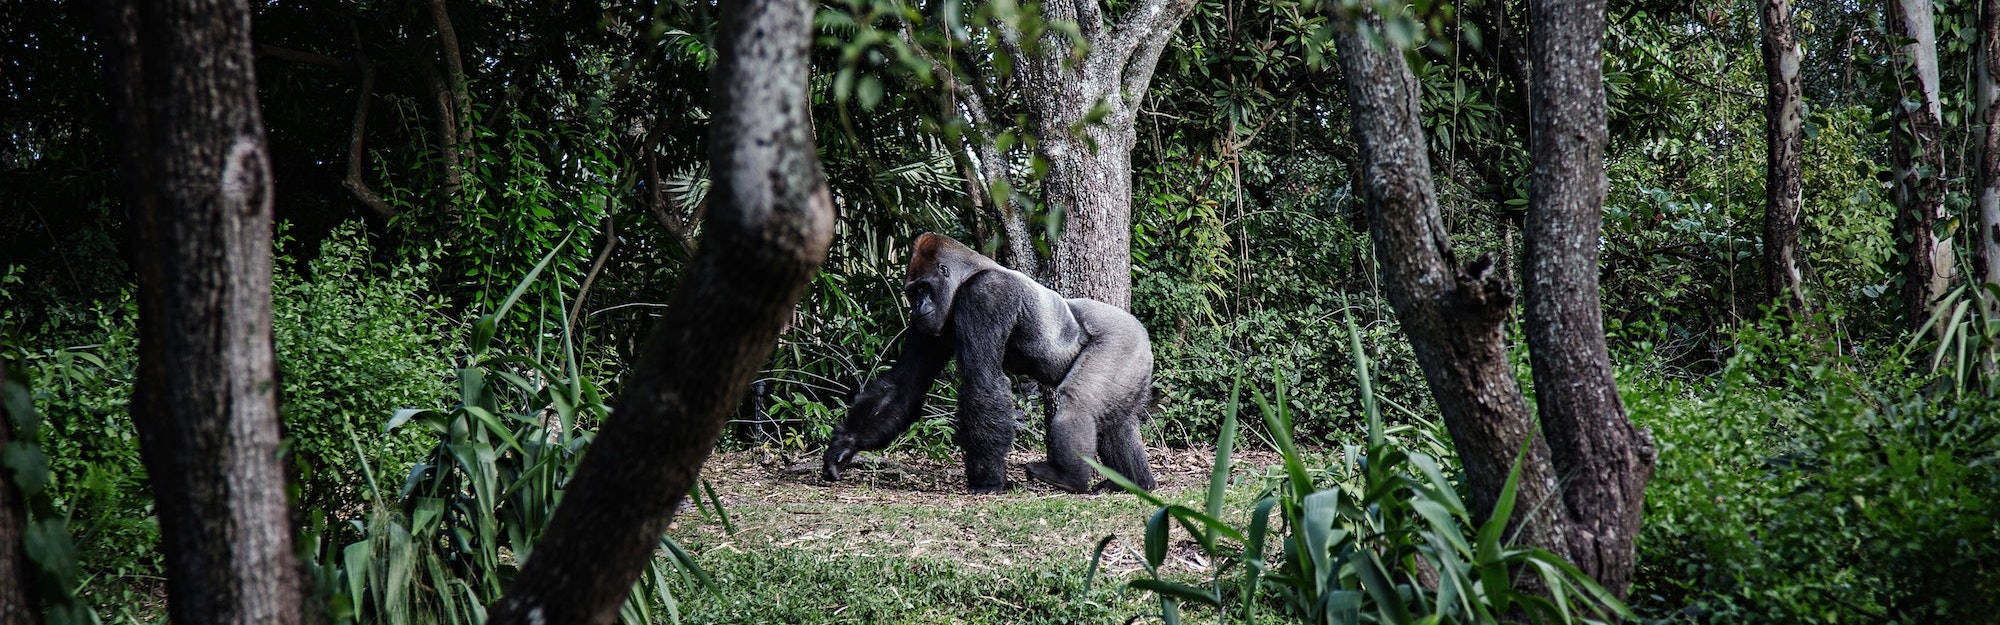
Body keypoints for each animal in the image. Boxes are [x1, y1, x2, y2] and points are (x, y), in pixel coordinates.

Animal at [816, 233, 1160, 492]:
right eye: (912, 293)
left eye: (924, 288)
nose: (917, 308)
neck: (970, 273)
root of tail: (1141, 331)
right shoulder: (930, 325)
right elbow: (904, 383)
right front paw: (846, 444)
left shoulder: (986, 295)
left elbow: (981, 380)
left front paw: (988, 480)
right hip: (1134, 358)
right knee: (1116, 421)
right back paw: (1133, 482)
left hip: (1122, 340)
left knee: (1079, 402)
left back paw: (1070, 478)